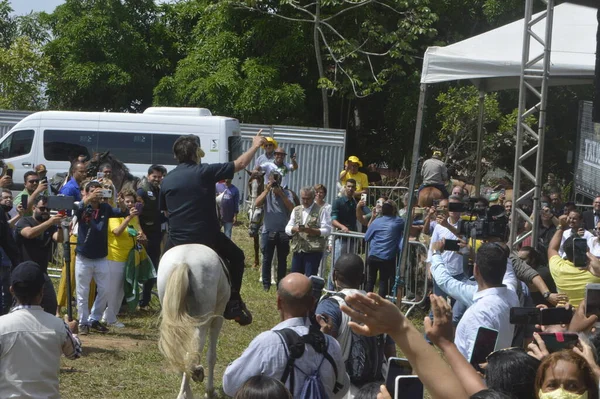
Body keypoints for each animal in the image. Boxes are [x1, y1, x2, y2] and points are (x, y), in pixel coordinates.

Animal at [156, 244, 231, 399]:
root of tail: (184, 261)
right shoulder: (218, 318)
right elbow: (211, 355)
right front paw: (210, 391)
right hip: (202, 321)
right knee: (194, 350)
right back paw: (194, 378)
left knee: (178, 352)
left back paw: (186, 391)